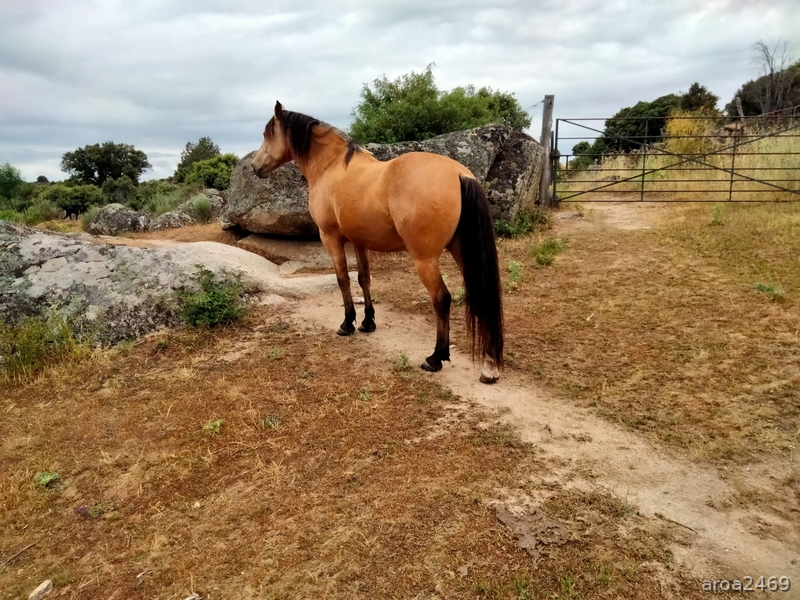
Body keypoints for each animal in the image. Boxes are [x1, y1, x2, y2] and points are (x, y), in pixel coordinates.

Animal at [252, 102, 504, 383]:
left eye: (267, 134)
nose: (254, 167)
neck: (332, 166)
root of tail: (460, 174)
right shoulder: (359, 241)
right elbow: (364, 279)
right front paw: (367, 322)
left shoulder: (331, 238)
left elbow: (343, 279)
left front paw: (347, 323)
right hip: (463, 252)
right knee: (483, 296)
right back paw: (489, 367)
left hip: (425, 259)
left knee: (441, 299)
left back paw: (435, 357)